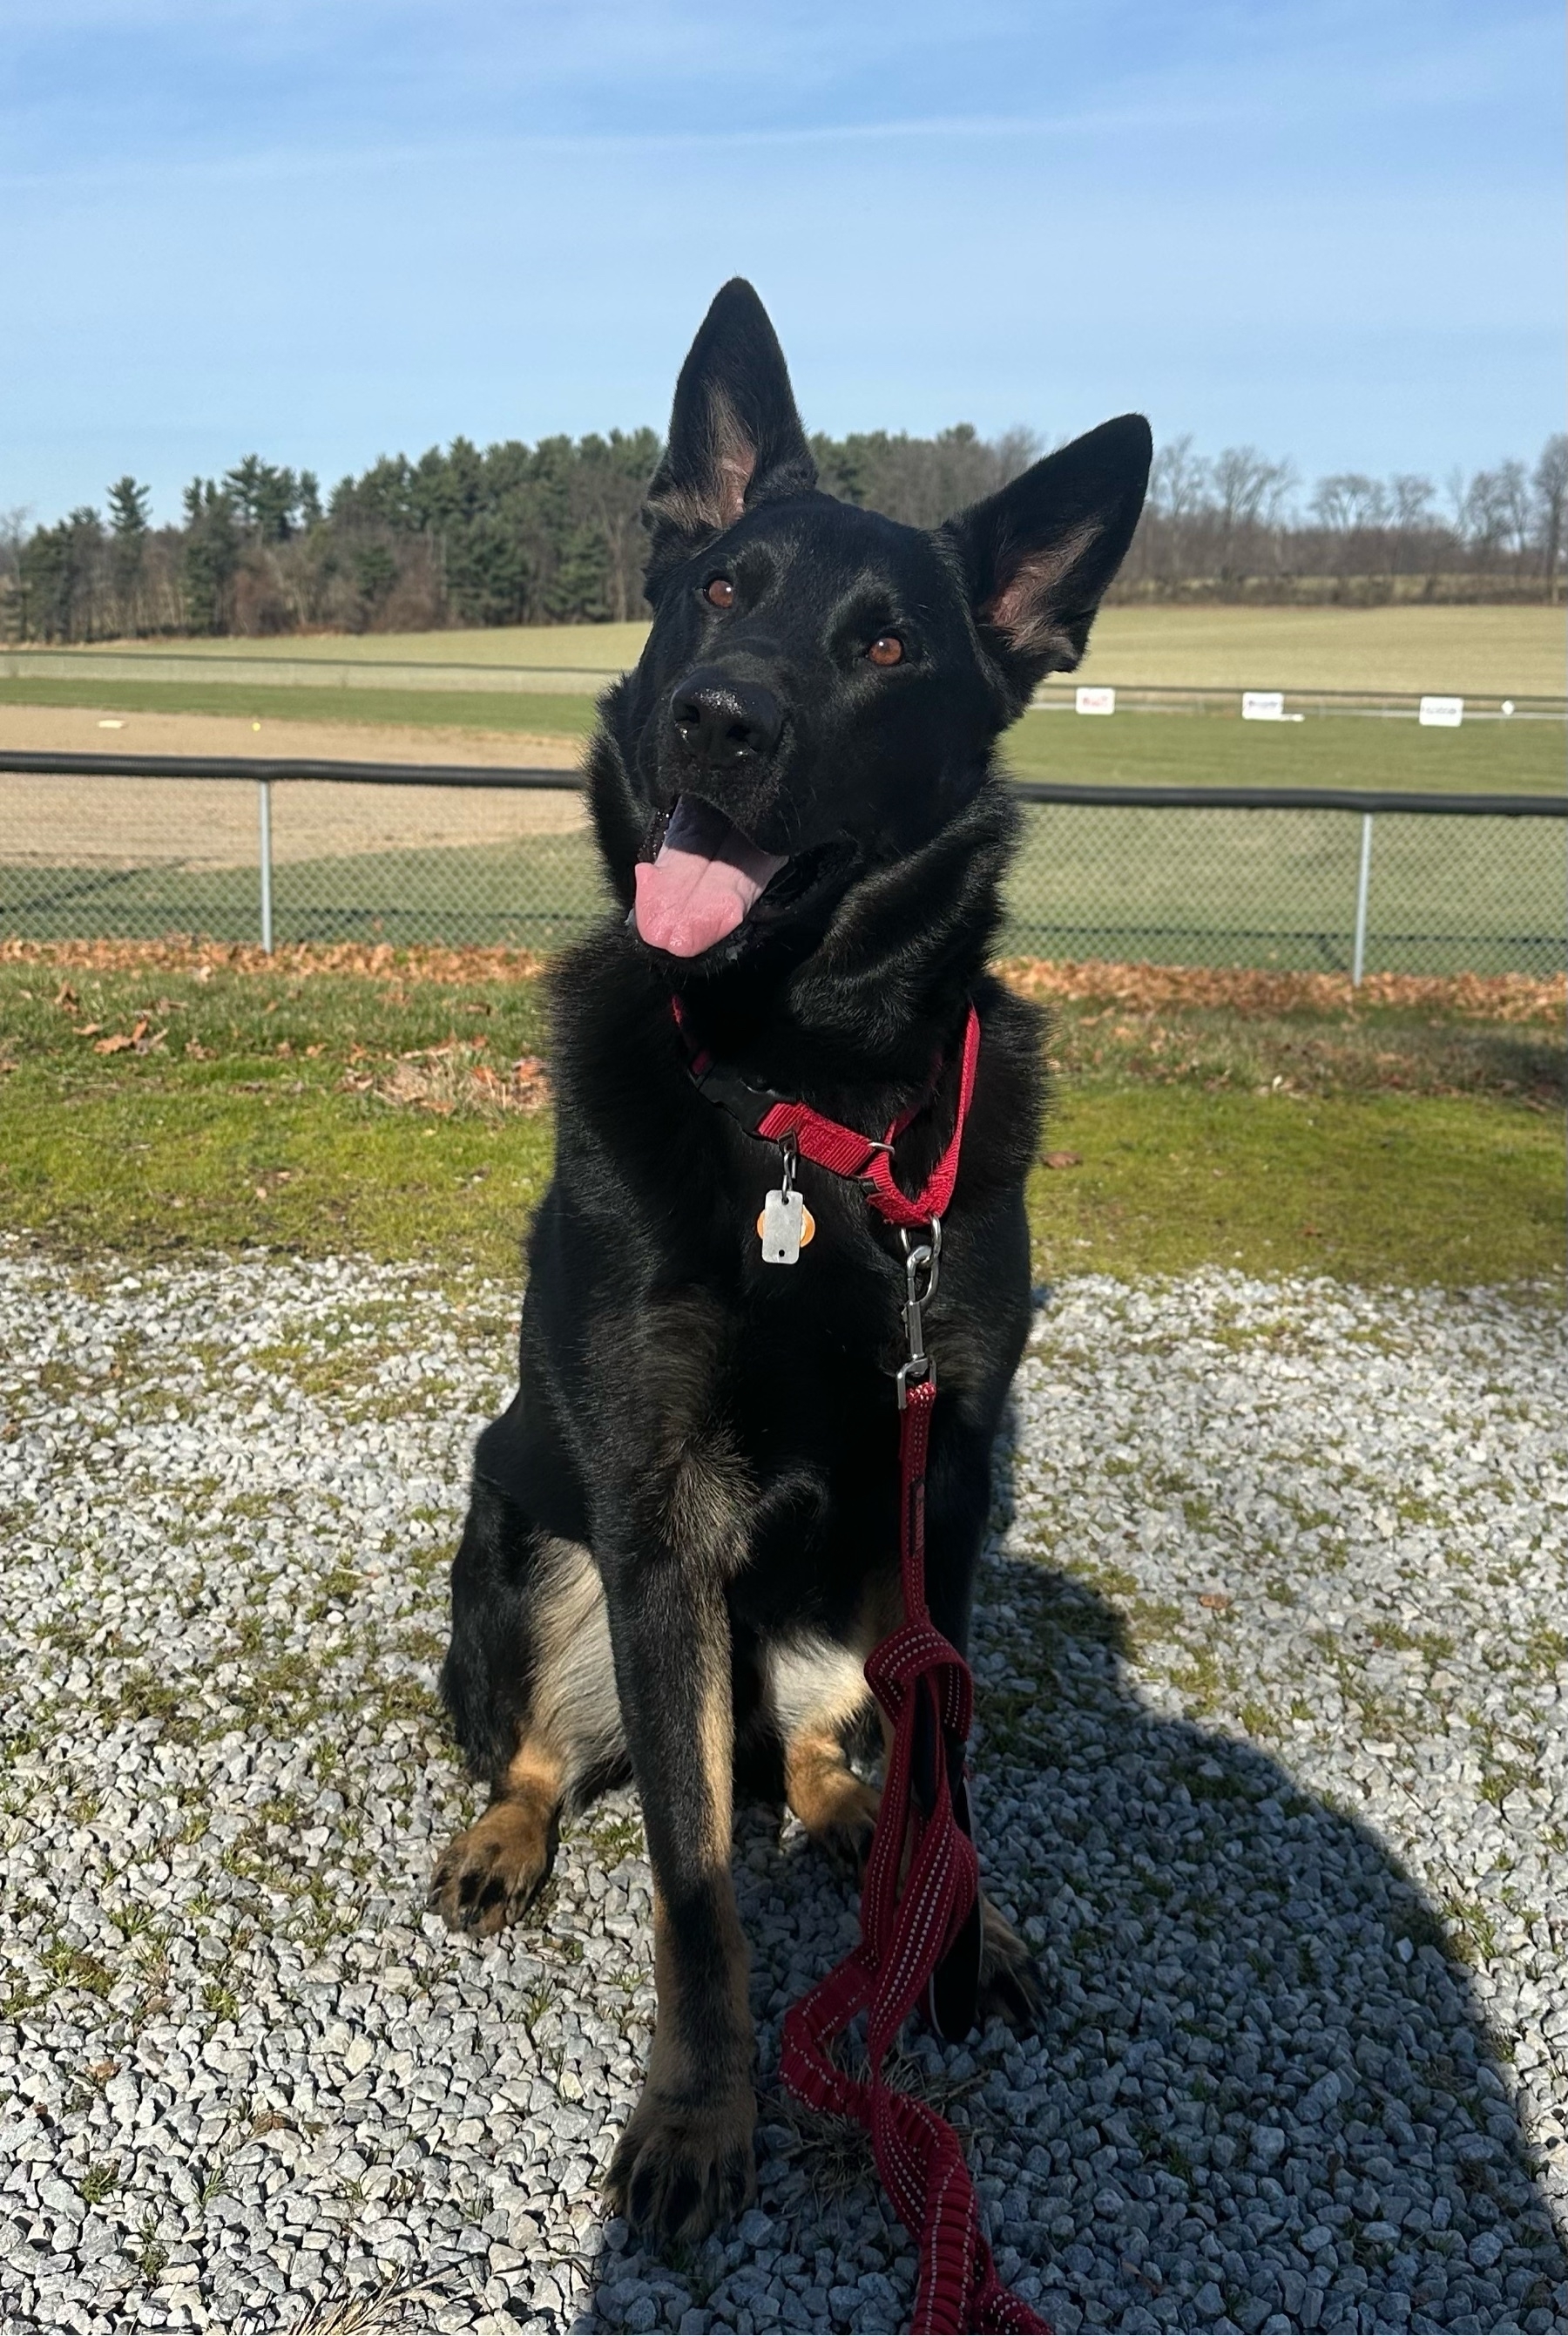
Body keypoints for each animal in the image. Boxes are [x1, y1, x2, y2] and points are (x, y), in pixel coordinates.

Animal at [429, 282, 1154, 2251]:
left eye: (888, 641)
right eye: (720, 586)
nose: (715, 721)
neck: (807, 1096)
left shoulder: (948, 1477)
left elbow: (950, 1776)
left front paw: (953, 1934)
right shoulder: (657, 1519)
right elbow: (694, 1885)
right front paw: (699, 2113)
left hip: (857, 1583)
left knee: (846, 1750)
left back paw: (846, 1826)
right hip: (524, 1555)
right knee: (554, 1746)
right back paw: (509, 1832)